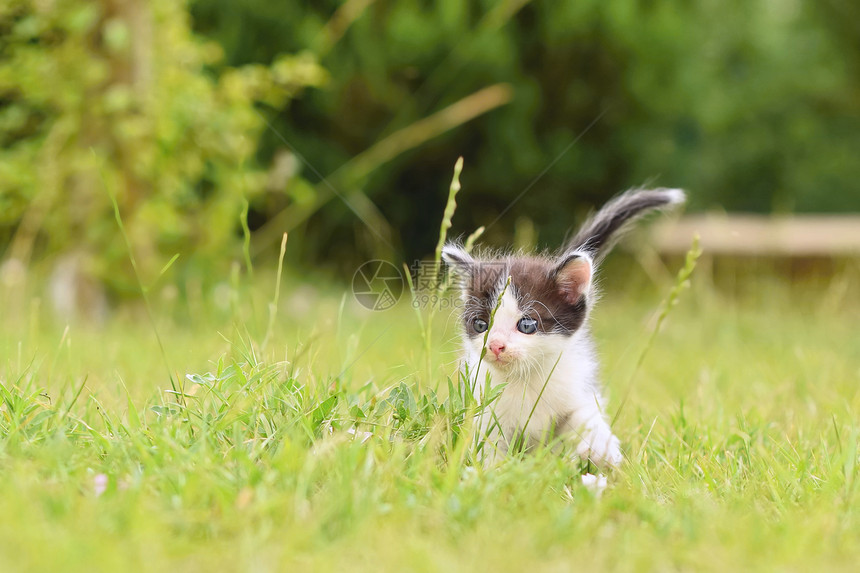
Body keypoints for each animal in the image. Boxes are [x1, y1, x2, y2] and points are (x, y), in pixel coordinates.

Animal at [444, 190, 684, 466]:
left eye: (527, 324)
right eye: (480, 324)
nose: (495, 345)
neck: (525, 378)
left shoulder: (577, 387)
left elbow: (584, 414)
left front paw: (601, 446)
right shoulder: (485, 406)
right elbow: (489, 445)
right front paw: (490, 471)